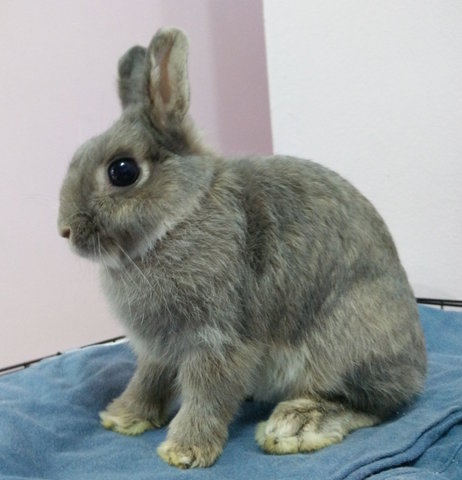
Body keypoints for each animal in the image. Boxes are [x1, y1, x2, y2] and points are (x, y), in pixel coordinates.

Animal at [57, 27, 426, 468]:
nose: (64, 230)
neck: (180, 217)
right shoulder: (158, 350)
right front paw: (122, 418)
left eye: (123, 171)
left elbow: (207, 395)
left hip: (346, 345)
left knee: (373, 404)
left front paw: (184, 451)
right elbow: (147, 381)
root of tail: (417, 367)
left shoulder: (219, 339)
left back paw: (294, 426)